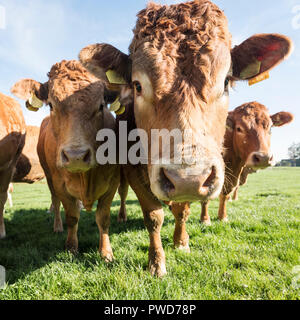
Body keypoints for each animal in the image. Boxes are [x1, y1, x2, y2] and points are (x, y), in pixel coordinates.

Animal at [11, 60, 119, 260]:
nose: (76, 156)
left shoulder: (113, 182)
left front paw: (106, 252)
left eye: (101, 105)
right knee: (55, 202)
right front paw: (71, 247)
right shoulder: (60, 183)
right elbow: (72, 216)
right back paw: (58, 226)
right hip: (49, 177)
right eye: (51, 105)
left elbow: (103, 217)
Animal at [79, 0, 292, 276]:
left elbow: (183, 209)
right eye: (137, 86)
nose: (187, 178)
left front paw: (181, 241)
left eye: (225, 82)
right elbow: (153, 216)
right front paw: (156, 262)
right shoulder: (135, 172)